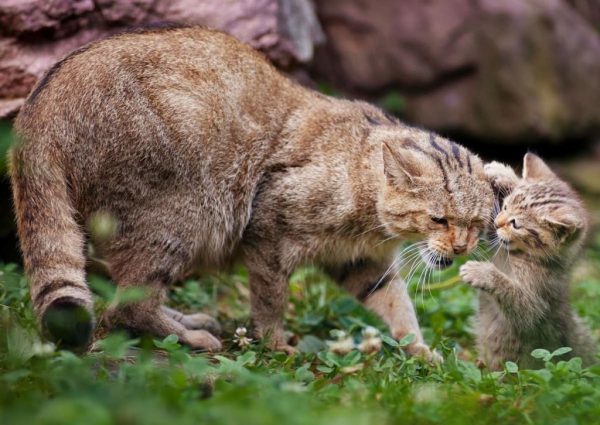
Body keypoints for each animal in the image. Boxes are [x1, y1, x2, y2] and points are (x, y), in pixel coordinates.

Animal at [10, 24, 492, 354]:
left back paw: (188, 320)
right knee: (127, 305)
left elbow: (395, 303)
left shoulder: (360, 263)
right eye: (439, 219)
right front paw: (276, 344)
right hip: (177, 217)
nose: (461, 247)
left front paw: (419, 349)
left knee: (123, 295)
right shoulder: (269, 235)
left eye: (476, 224)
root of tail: (37, 109)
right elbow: (270, 300)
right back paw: (192, 336)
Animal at [460, 153, 596, 368]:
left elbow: (518, 301)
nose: (497, 222)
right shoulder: (496, 239)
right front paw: (504, 175)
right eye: (505, 206)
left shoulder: (537, 304)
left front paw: (482, 273)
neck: (523, 255)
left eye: (516, 224)